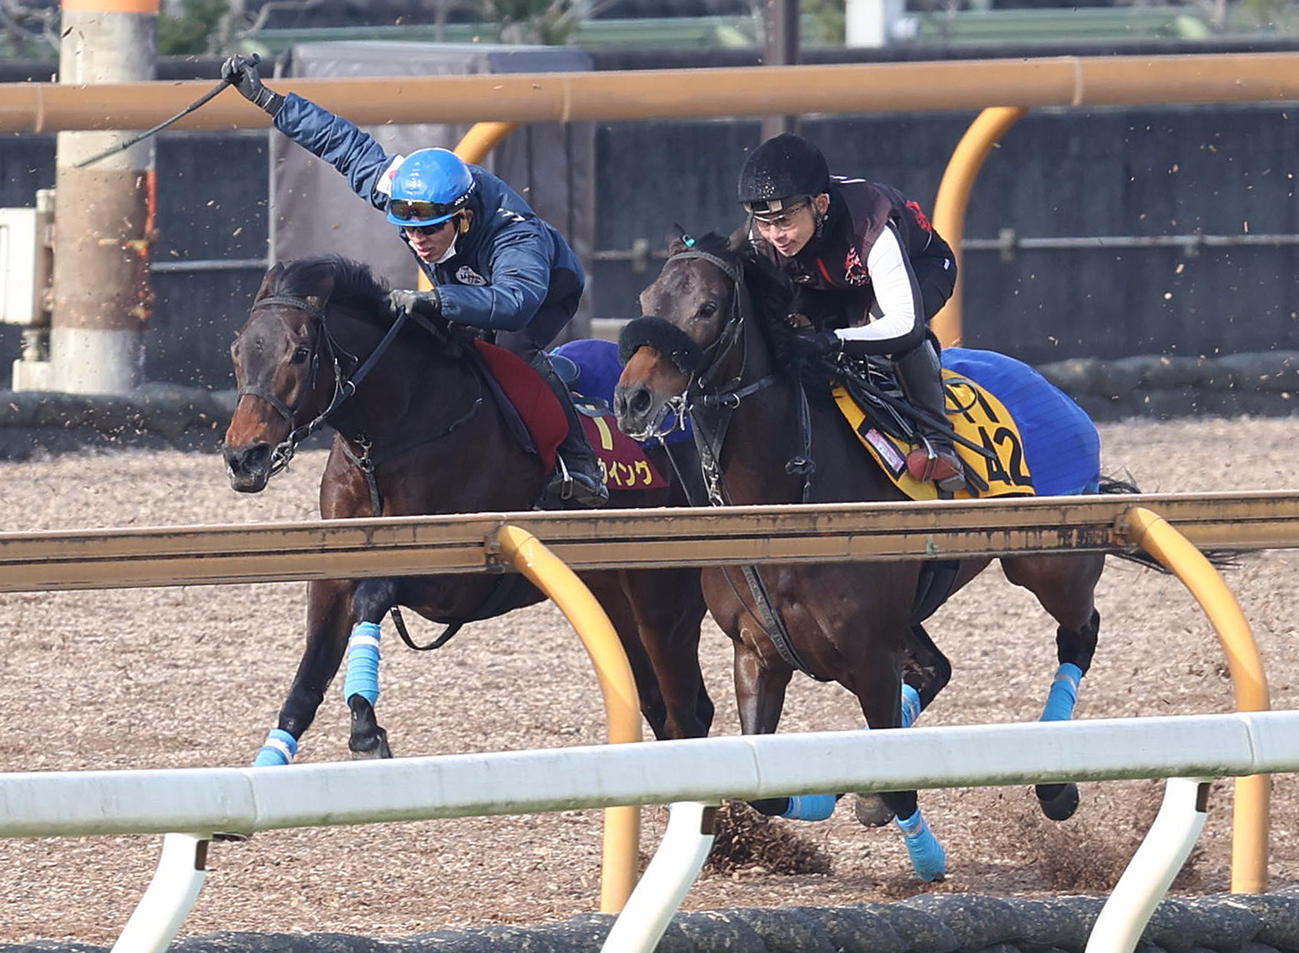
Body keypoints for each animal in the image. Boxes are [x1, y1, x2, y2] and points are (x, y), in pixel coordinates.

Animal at [222, 255, 711, 765]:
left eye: (300, 353)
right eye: (237, 352)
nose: (243, 456)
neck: (403, 428)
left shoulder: (457, 582)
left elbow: (373, 596)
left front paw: (366, 729)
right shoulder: (333, 575)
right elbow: (306, 683)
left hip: (664, 601)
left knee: (686, 712)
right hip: (613, 598)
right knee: (661, 705)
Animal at [612, 230, 1156, 882]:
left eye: (708, 308)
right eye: (647, 298)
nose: (633, 399)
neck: (786, 496)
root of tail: (1052, 388)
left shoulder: (870, 652)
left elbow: (897, 783)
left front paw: (927, 856)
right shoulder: (757, 651)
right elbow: (768, 788)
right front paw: (835, 793)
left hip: (1047, 565)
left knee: (1079, 633)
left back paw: (1055, 783)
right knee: (936, 669)